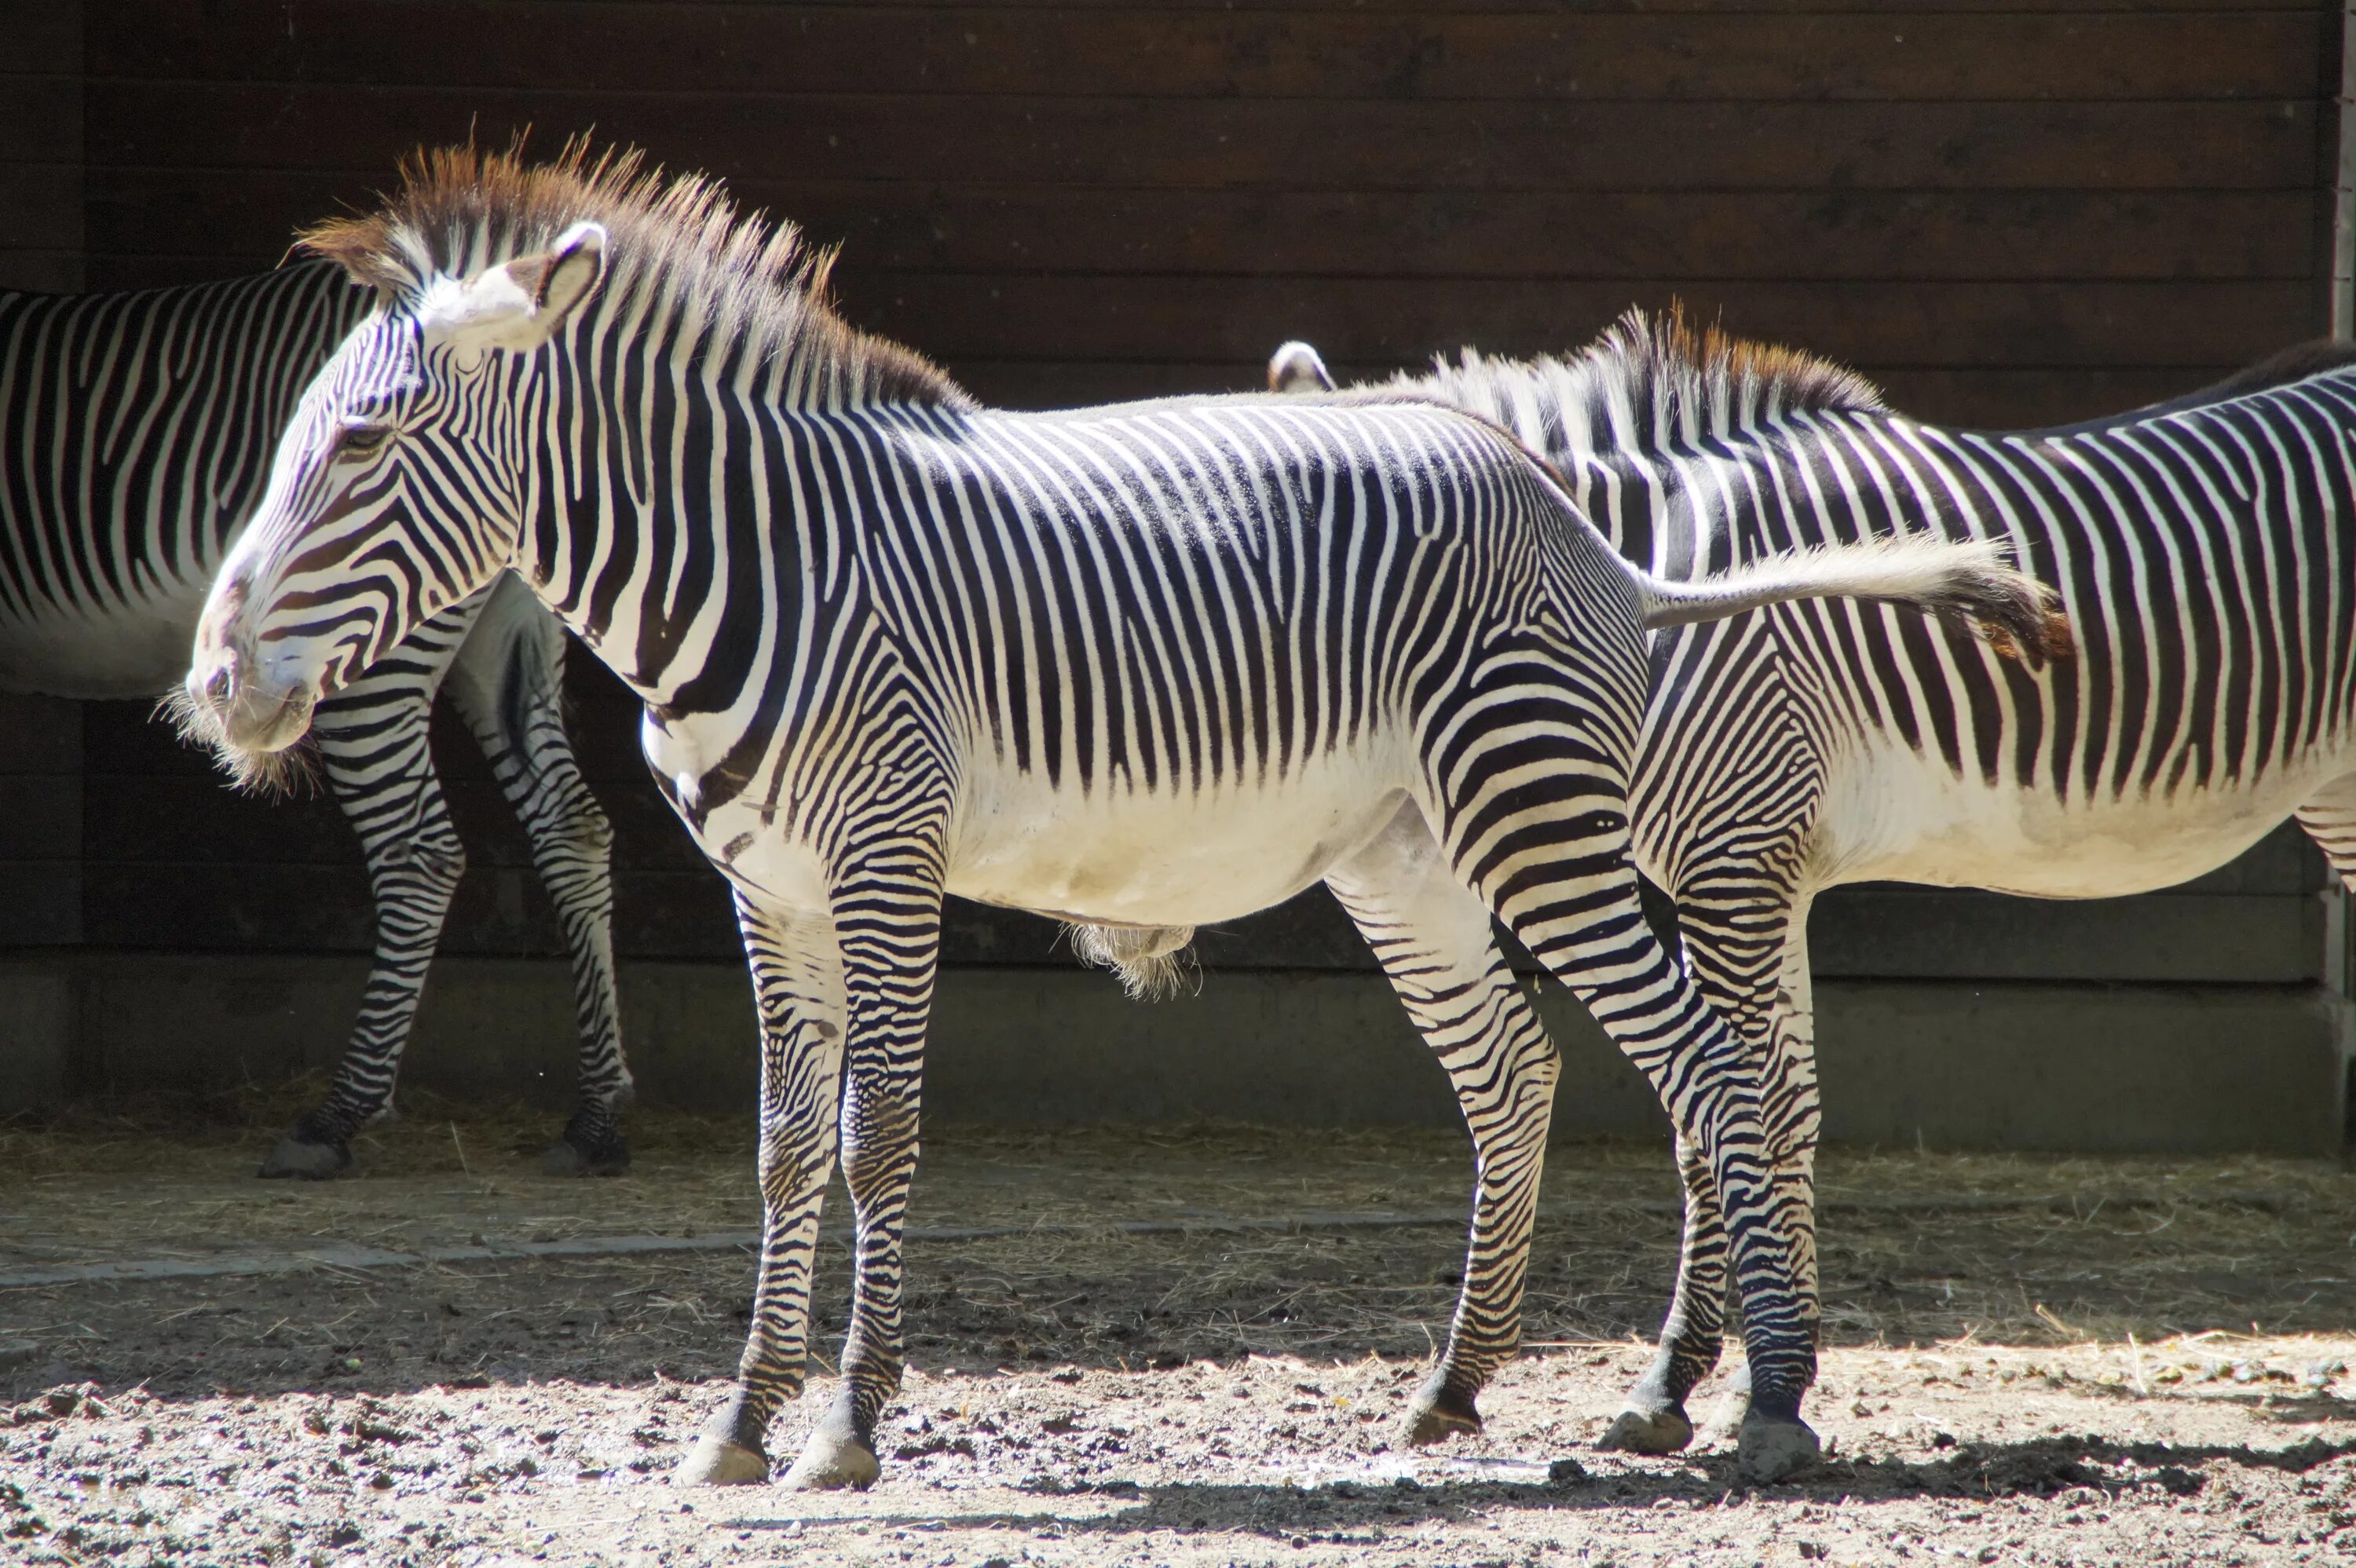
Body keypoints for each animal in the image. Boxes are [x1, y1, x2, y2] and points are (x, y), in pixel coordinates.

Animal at [0, 258, 631, 1172]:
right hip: (507, 633)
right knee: (570, 824)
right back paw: (596, 1116)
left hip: (372, 641)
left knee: (421, 851)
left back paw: (337, 1114)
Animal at [174, 141, 2064, 1488]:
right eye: (300, 438)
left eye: (367, 444)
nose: (212, 684)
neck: (763, 569)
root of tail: (1573, 513)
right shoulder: (765, 888)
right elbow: (783, 1148)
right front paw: (737, 1423)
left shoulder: (885, 857)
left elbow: (874, 1136)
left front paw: (845, 1426)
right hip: (1409, 856)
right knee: (1524, 1069)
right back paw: (1457, 1388)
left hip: (1535, 815)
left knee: (1711, 1063)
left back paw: (1764, 1394)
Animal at [1272, 310, 2356, 1450]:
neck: (1651, 584)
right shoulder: (1760, 869)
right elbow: (1778, 1102)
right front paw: (1730, 1377)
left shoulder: (1735, 856)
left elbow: (1724, 1111)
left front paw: (1738, 1385)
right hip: (2334, 785)